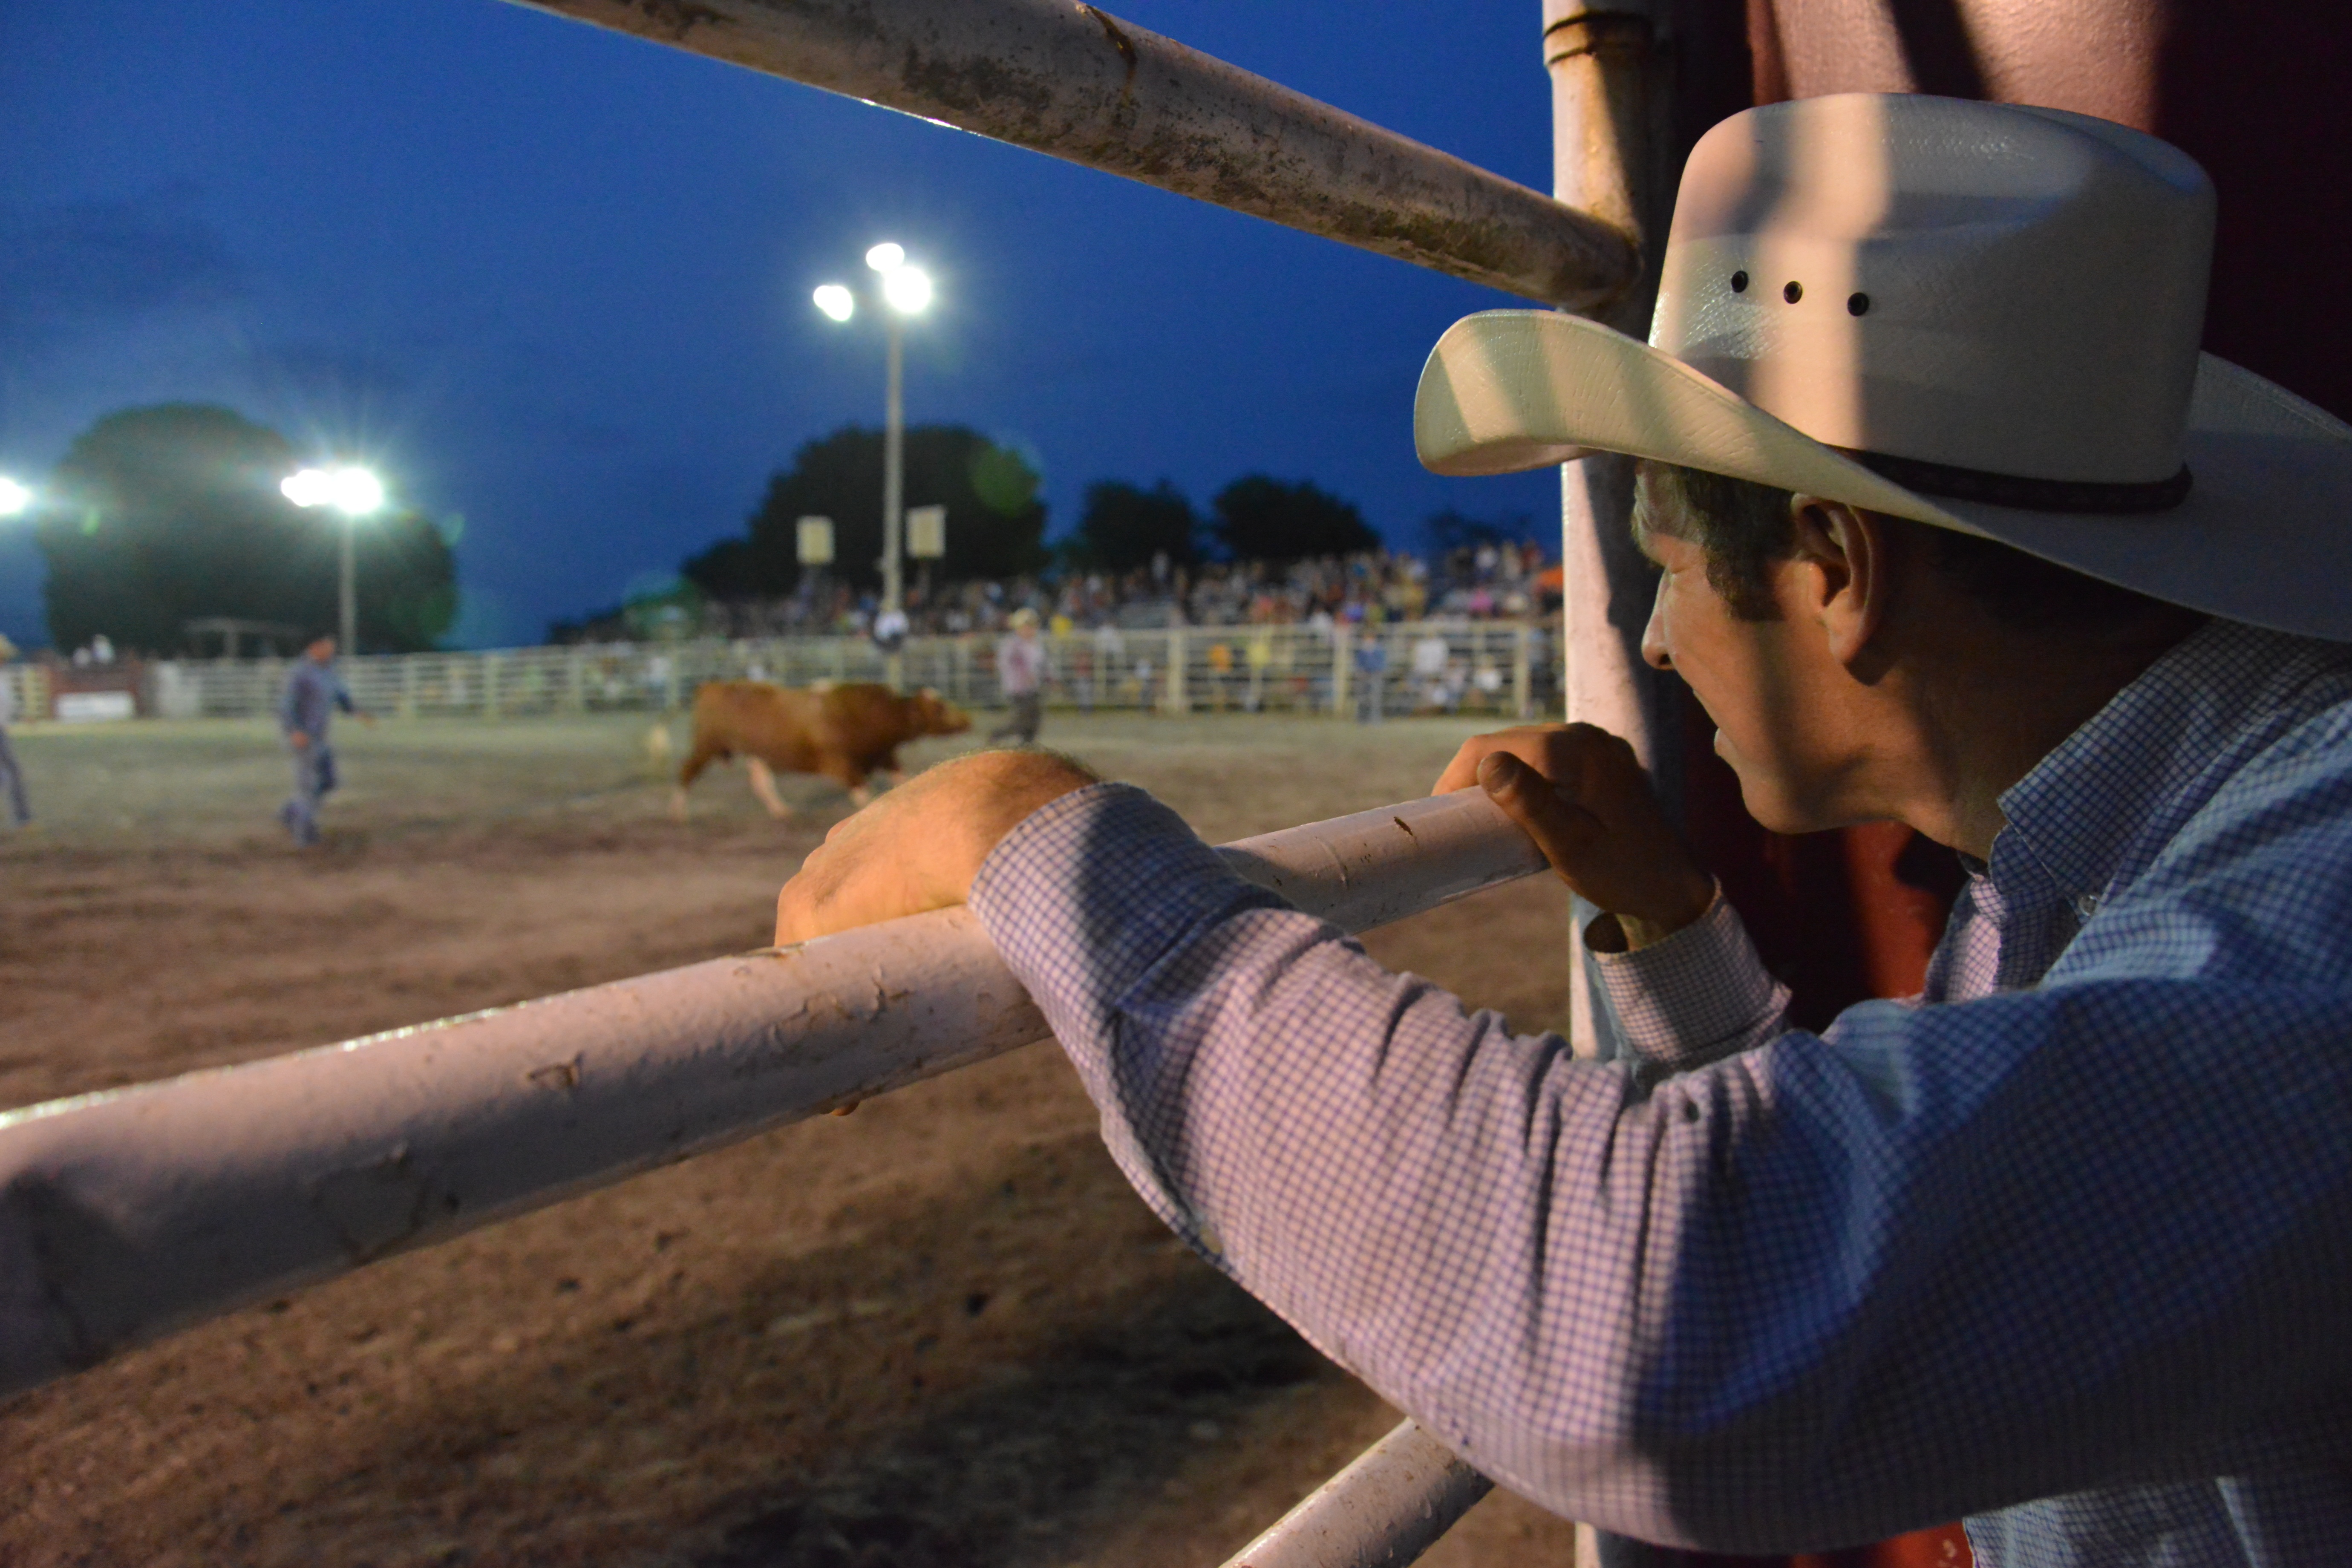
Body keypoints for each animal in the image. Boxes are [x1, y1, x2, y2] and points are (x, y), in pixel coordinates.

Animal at [672, 677, 974, 818]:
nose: (968, 719)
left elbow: (903, 780)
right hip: (708, 744)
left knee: (761, 781)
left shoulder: (883, 757)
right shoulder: (840, 764)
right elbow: (864, 794)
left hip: (755, 754)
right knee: (686, 771)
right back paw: (680, 812)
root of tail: (711, 686)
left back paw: (781, 811)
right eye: (939, 708)